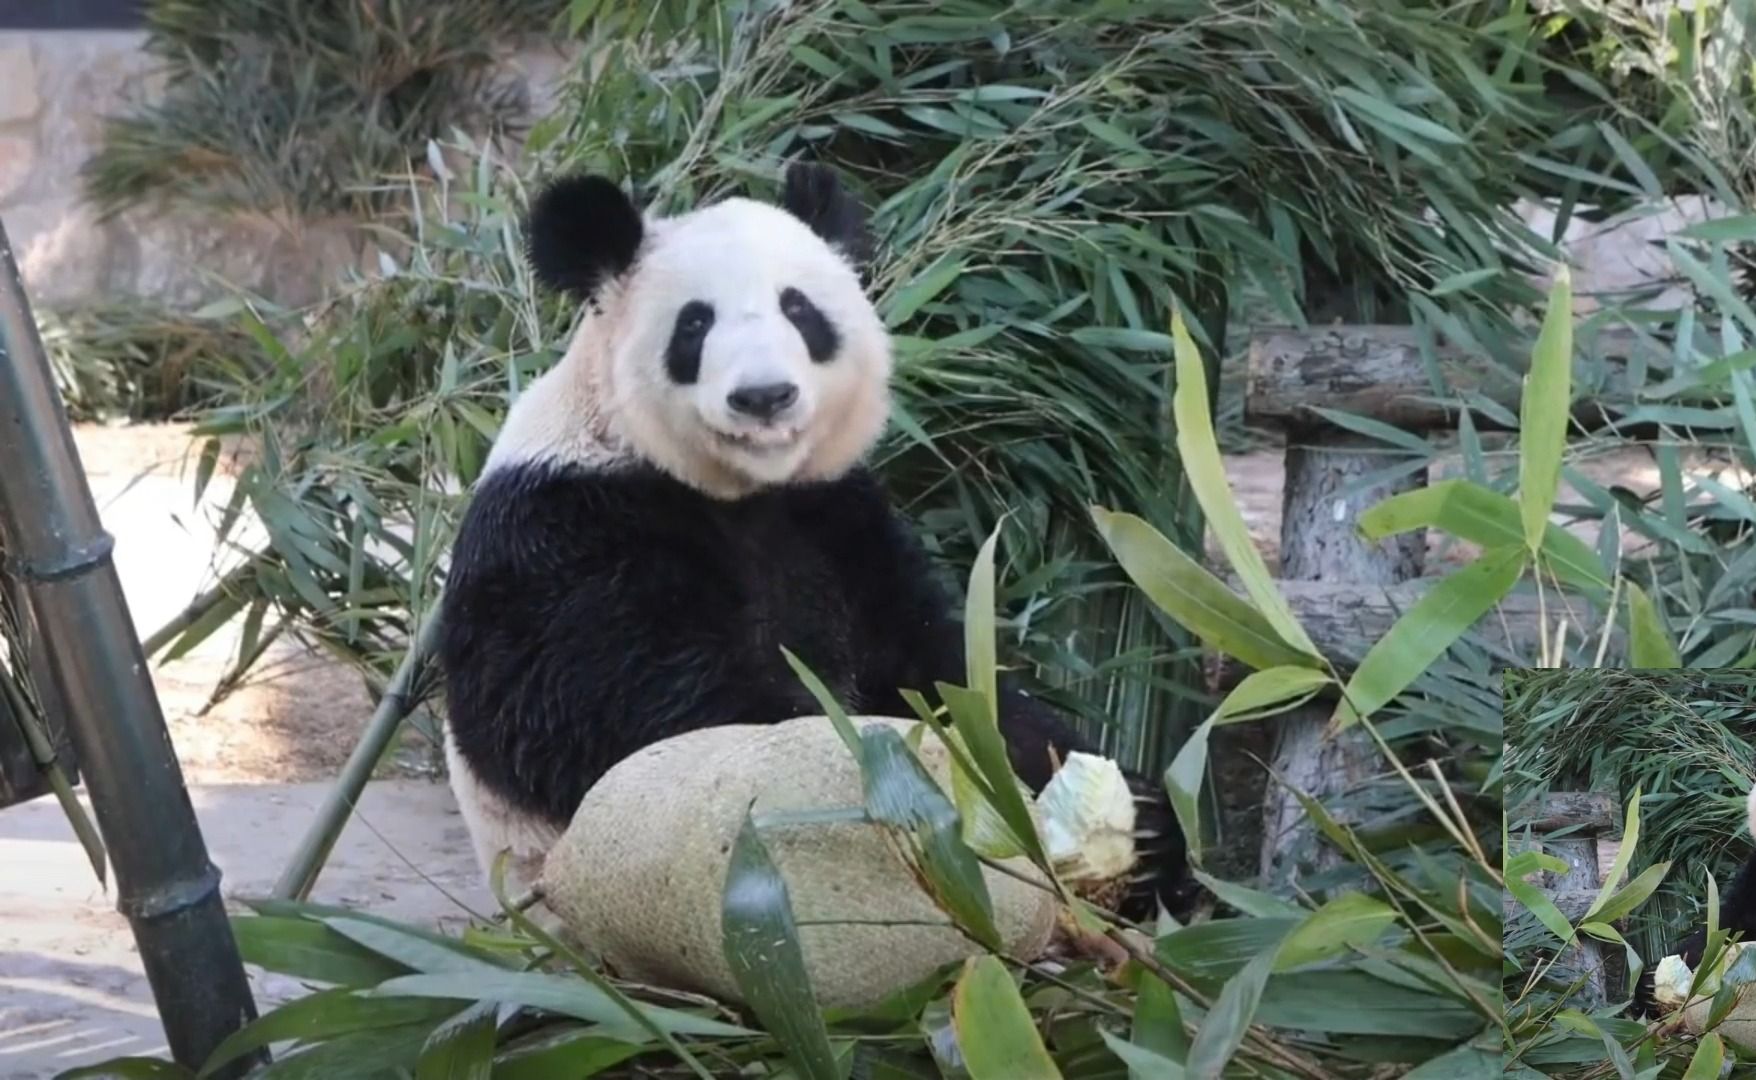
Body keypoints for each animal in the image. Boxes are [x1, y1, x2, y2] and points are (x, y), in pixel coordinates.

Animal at [439, 158, 1201, 920]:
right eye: (694, 324)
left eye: (799, 310)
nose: (764, 396)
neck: (742, 488)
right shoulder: (564, 527)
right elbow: (619, 705)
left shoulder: (837, 516)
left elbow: (942, 673)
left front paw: (1138, 821)